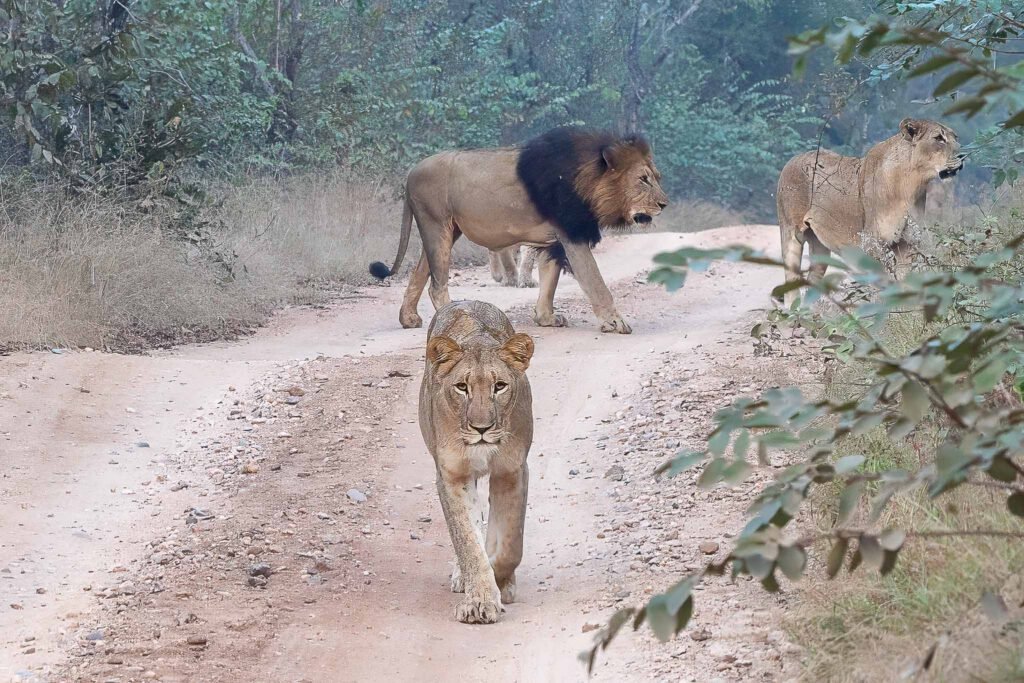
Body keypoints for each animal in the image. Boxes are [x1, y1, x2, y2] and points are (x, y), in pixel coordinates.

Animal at [369, 126, 669, 334]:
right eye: (643, 179)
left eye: (657, 178)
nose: (664, 204)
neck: (587, 179)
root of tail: (410, 173)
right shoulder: (573, 235)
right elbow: (596, 281)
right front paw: (616, 322)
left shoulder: (555, 240)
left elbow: (550, 281)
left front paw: (546, 318)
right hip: (436, 225)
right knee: (436, 284)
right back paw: (452, 320)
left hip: (446, 230)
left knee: (420, 273)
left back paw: (408, 319)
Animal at [419, 300, 535, 624]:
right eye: (462, 387)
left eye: (499, 386)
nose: (481, 428)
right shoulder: (452, 475)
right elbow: (467, 540)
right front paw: (480, 598)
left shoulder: (512, 470)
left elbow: (511, 543)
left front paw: (501, 581)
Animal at [776, 118, 963, 305]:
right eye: (939, 138)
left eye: (955, 137)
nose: (963, 155)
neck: (910, 186)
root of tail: (793, 159)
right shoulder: (872, 244)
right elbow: (884, 284)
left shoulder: (906, 244)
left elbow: (905, 282)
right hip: (791, 233)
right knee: (791, 285)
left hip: (820, 246)